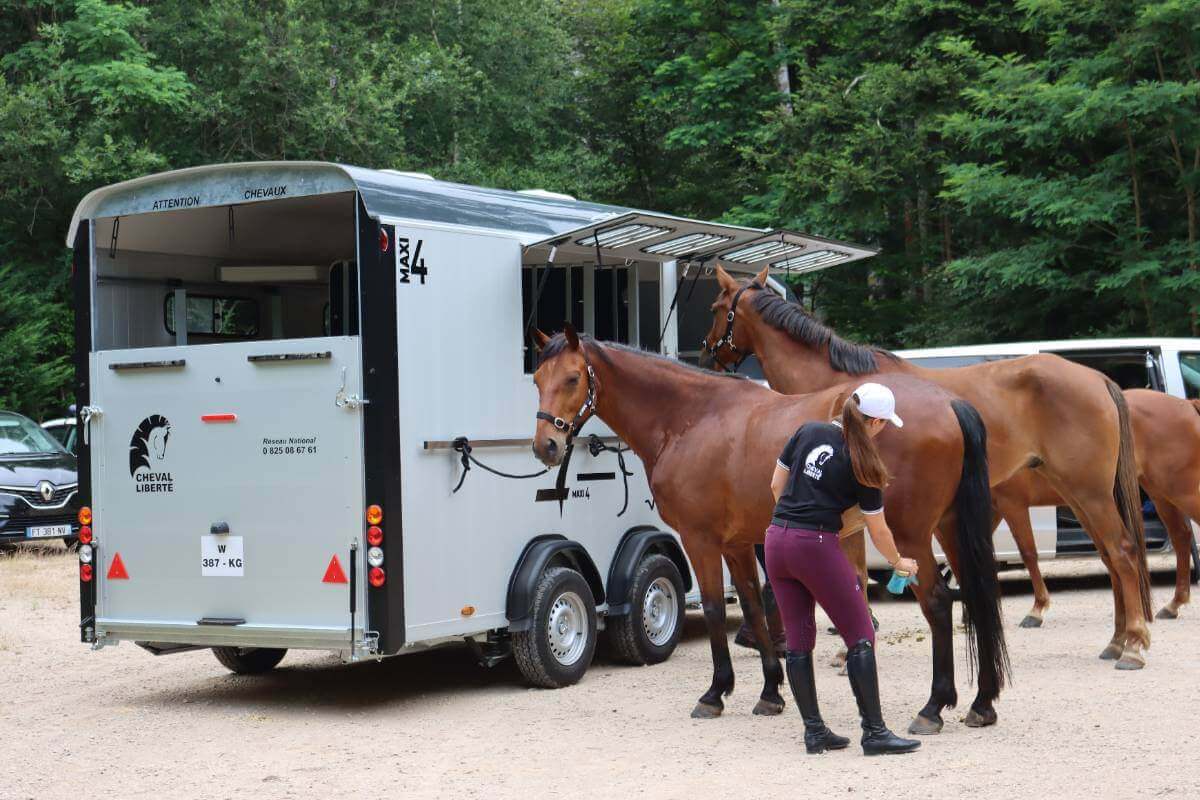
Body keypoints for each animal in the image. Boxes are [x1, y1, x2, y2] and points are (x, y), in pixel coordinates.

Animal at [531, 326, 1010, 734]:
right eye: (536, 377)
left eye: (572, 378)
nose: (546, 446)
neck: (691, 418)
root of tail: (948, 402)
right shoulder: (738, 544)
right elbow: (753, 607)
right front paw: (769, 693)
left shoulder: (700, 540)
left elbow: (713, 609)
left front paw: (715, 693)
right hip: (949, 529)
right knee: (977, 598)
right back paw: (982, 703)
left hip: (909, 537)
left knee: (939, 603)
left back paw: (933, 707)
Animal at [700, 267, 1153, 668]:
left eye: (715, 307)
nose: (706, 352)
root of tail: (1097, 378)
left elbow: (854, 577)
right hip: (1078, 494)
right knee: (1111, 556)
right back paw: (1116, 640)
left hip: (1089, 492)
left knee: (1122, 551)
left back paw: (1133, 645)